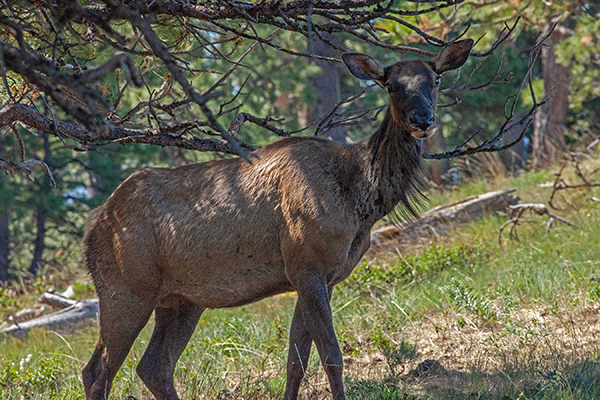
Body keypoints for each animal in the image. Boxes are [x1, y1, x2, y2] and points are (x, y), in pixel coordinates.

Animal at [82, 38, 474, 400]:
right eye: (391, 84)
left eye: (435, 80)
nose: (422, 120)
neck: (360, 202)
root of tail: (92, 233)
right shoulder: (307, 264)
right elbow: (331, 355)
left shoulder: (320, 275)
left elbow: (296, 361)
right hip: (126, 287)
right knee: (98, 372)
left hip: (182, 299)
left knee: (153, 366)